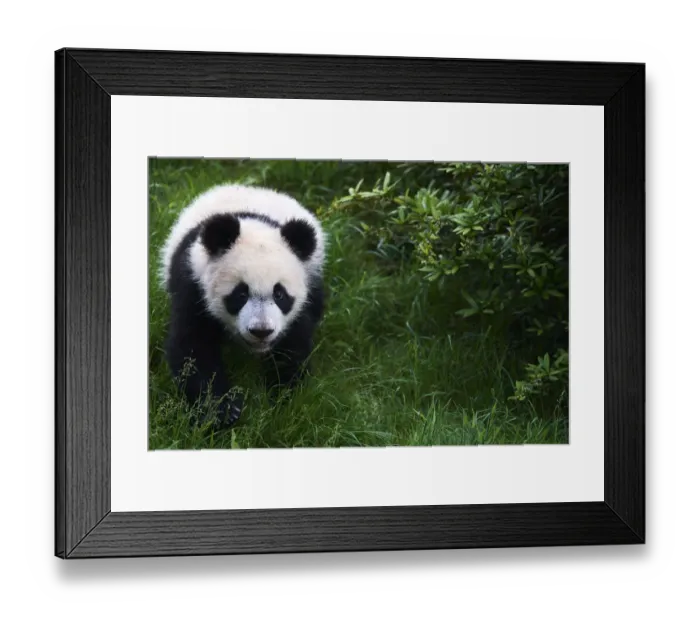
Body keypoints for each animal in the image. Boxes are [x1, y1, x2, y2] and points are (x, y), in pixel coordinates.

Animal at [159, 183, 326, 428]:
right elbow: (192, 347)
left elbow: (293, 345)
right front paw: (222, 411)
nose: (261, 331)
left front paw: (283, 397)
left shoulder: (302, 302)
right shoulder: (193, 285)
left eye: (279, 294)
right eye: (241, 294)